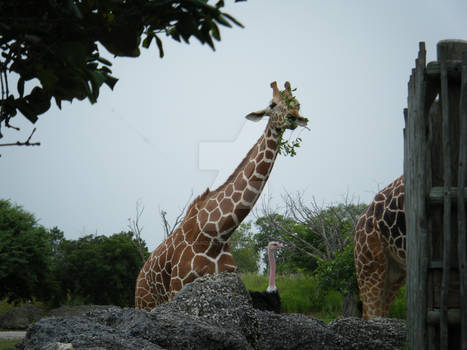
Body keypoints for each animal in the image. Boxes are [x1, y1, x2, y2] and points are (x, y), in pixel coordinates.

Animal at [135, 80, 308, 310]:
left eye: (297, 103)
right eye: (272, 104)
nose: (294, 117)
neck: (215, 235)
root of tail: (139, 276)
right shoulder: (178, 287)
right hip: (145, 303)